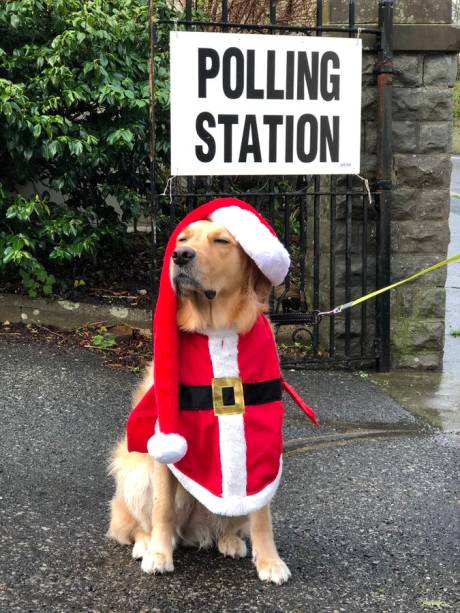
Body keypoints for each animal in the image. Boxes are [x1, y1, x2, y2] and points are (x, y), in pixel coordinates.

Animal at [108, 219, 292, 584]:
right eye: (183, 239)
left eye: (221, 241)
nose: (180, 256)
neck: (217, 330)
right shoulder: (165, 436)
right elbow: (162, 509)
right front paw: (159, 555)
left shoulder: (261, 442)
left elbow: (261, 515)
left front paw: (270, 561)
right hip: (136, 474)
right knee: (137, 524)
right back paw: (146, 544)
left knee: (229, 522)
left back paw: (229, 539)